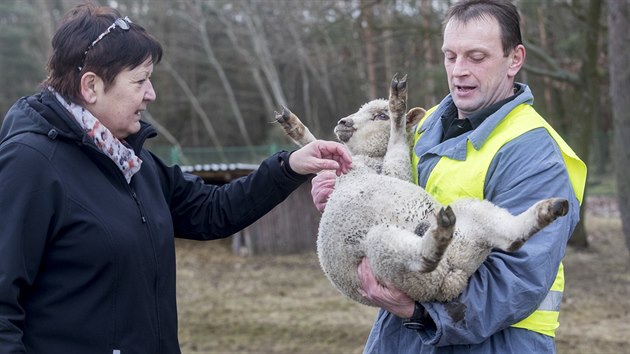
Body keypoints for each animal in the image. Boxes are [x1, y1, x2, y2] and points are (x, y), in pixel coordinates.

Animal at [274, 74, 572, 304]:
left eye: (379, 115)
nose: (343, 122)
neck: (362, 165)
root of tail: (452, 280)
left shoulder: (395, 173)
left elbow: (395, 147)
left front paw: (396, 107)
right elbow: (318, 151)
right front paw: (296, 128)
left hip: (391, 257)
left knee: (422, 259)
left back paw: (435, 241)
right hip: (459, 227)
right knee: (511, 239)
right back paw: (544, 212)